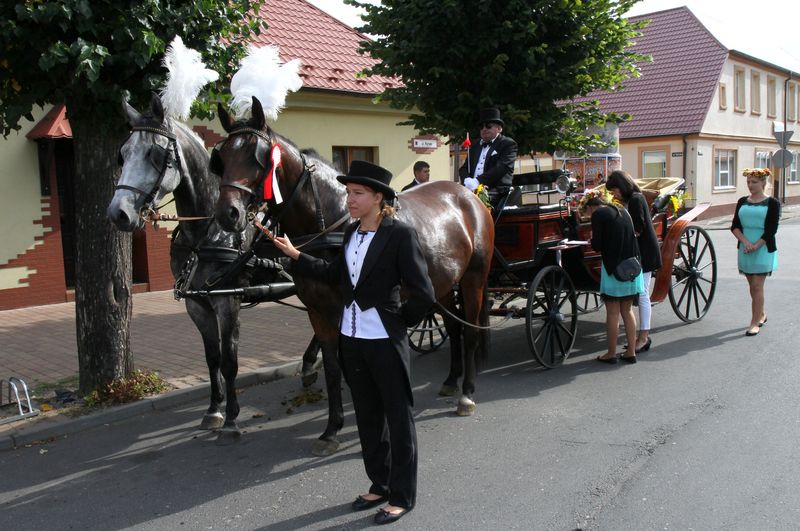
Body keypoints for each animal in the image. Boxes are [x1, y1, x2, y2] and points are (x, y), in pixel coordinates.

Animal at [209, 97, 494, 456]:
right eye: (221, 159)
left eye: (256, 156)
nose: (227, 214)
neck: (334, 220)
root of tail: (469, 195)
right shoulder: (318, 311)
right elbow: (333, 368)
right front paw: (332, 428)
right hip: (441, 283)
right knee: (454, 326)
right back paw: (450, 381)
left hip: (474, 278)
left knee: (469, 331)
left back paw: (466, 392)